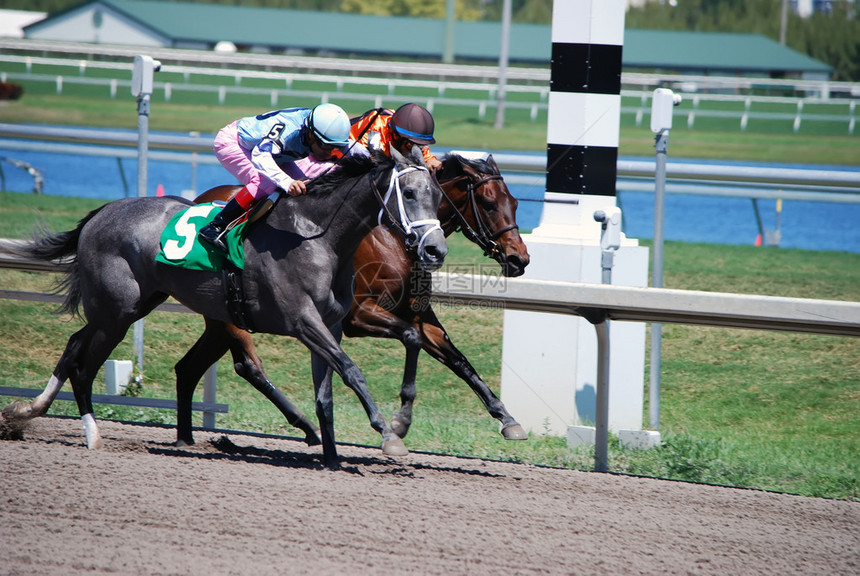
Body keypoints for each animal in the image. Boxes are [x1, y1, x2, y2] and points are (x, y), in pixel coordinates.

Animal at [3, 148, 450, 468]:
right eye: (410, 193)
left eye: (438, 195)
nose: (435, 250)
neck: (318, 238)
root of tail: (102, 211)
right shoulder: (303, 321)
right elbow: (352, 370)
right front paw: (390, 434)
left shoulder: (332, 325)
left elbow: (327, 390)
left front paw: (333, 458)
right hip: (117, 311)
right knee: (84, 364)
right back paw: (91, 433)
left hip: (129, 307)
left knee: (74, 347)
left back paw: (26, 410)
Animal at [194, 152, 532, 440]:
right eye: (488, 203)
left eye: (515, 202)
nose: (520, 259)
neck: (394, 240)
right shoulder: (359, 315)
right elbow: (411, 338)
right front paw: (400, 420)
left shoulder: (419, 314)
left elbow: (459, 361)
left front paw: (507, 418)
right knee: (249, 364)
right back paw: (305, 424)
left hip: (223, 315)